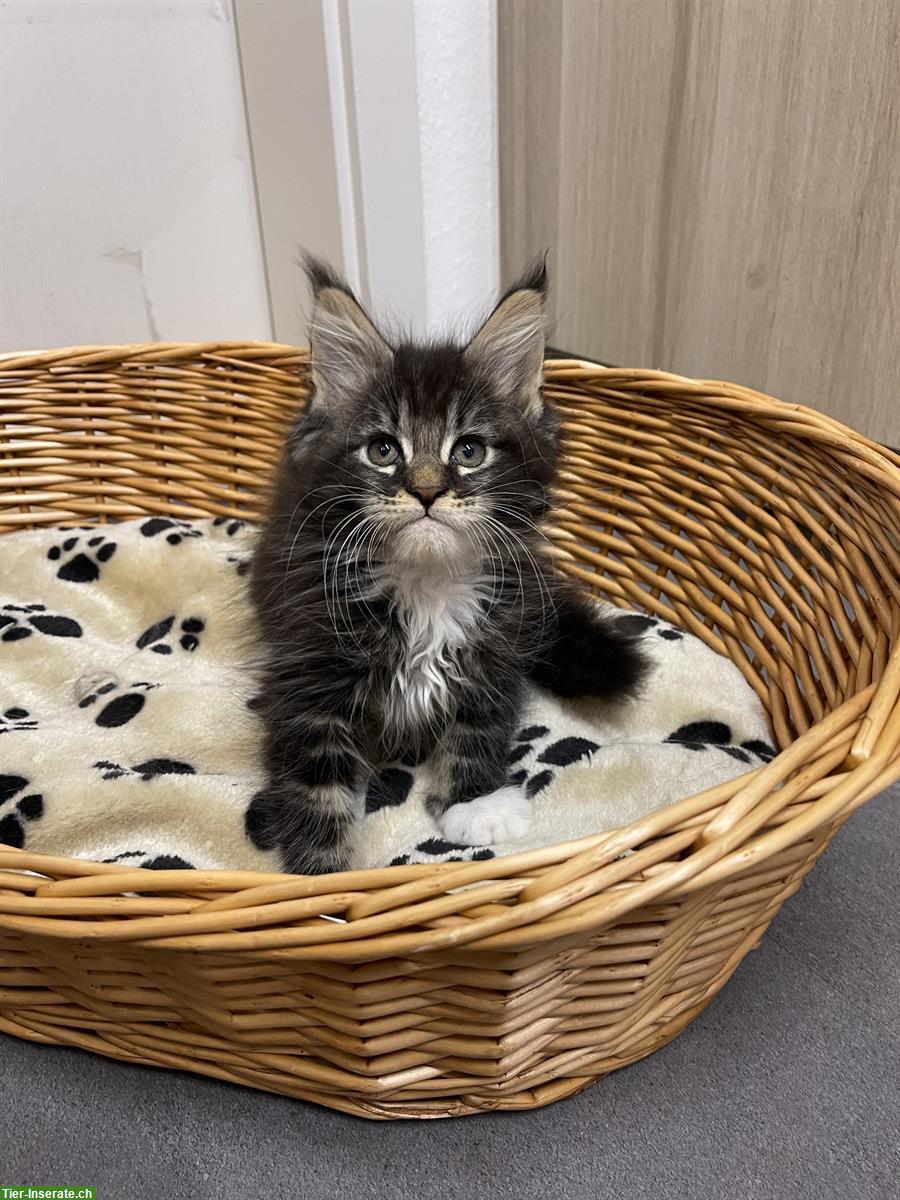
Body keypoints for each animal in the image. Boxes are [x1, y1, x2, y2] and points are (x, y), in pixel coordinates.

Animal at [250, 258, 643, 873]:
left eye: (469, 451)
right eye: (383, 450)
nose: (428, 491)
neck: (427, 581)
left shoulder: (499, 646)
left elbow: (478, 725)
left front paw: (474, 803)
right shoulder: (306, 670)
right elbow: (317, 779)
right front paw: (324, 873)